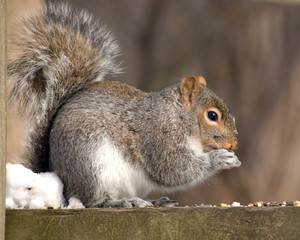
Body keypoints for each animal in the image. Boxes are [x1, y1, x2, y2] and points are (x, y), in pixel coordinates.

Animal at [8, 2, 240, 207]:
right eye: (212, 116)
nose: (233, 145)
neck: (177, 116)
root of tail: (57, 172)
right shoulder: (157, 136)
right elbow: (173, 169)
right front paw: (220, 159)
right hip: (90, 164)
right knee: (92, 200)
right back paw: (120, 202)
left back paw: (154, 201)